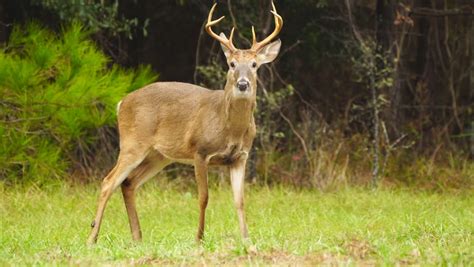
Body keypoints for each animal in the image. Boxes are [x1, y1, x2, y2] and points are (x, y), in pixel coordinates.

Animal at [86, 1, 282, 247]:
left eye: (255, 64)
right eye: (232, 64)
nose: (243, 84)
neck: (230, 128)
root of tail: (121, 103)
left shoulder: (240, 157)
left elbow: (240, 200)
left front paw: (247, 240)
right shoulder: (200, 150)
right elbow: (203, 197)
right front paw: (199, 238)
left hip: (159, 156)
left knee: (128, 183)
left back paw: (137, 237)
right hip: (133, 143)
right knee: (108, 181)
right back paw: (92, 238)